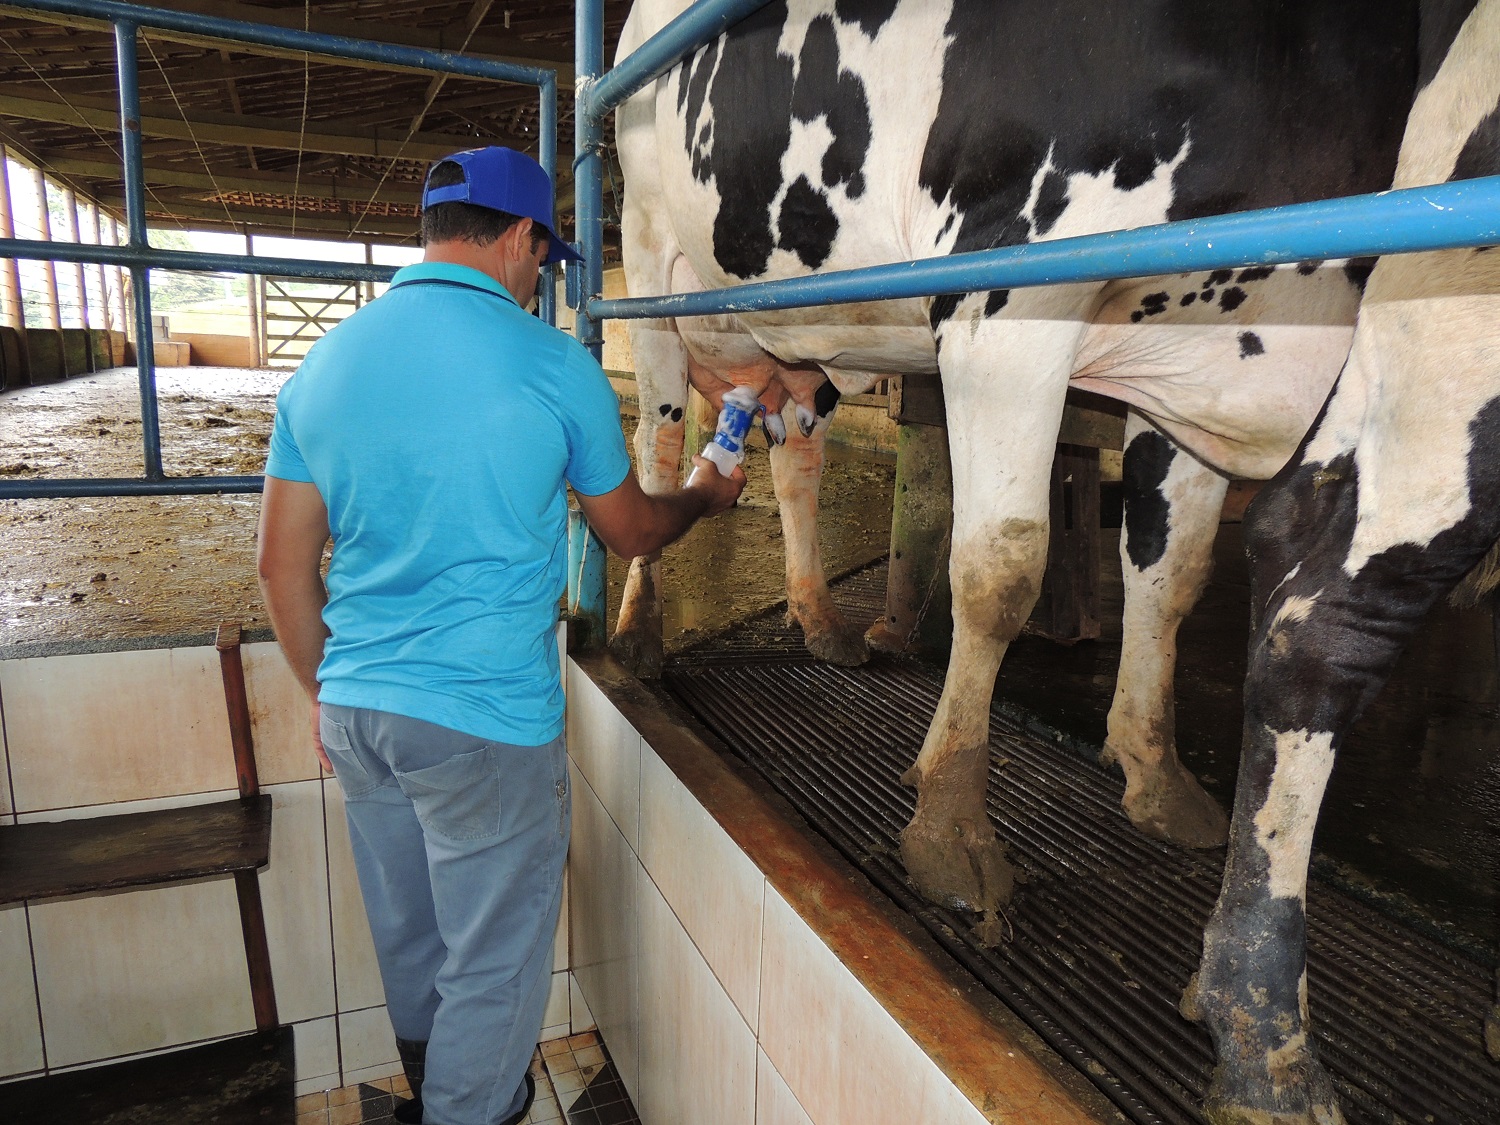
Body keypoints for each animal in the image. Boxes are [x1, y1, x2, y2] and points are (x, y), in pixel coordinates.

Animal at [612, 4, 1500, 1122]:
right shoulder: (1007, 284)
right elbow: (1001, 573)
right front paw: (951, 829)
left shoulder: (1198, 361)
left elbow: (1171, 574)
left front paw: (1153, 769)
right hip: (652, 275)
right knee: (658, 443)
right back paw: (637, 630)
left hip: (800, 345)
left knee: (800, 456)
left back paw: (818, 618)